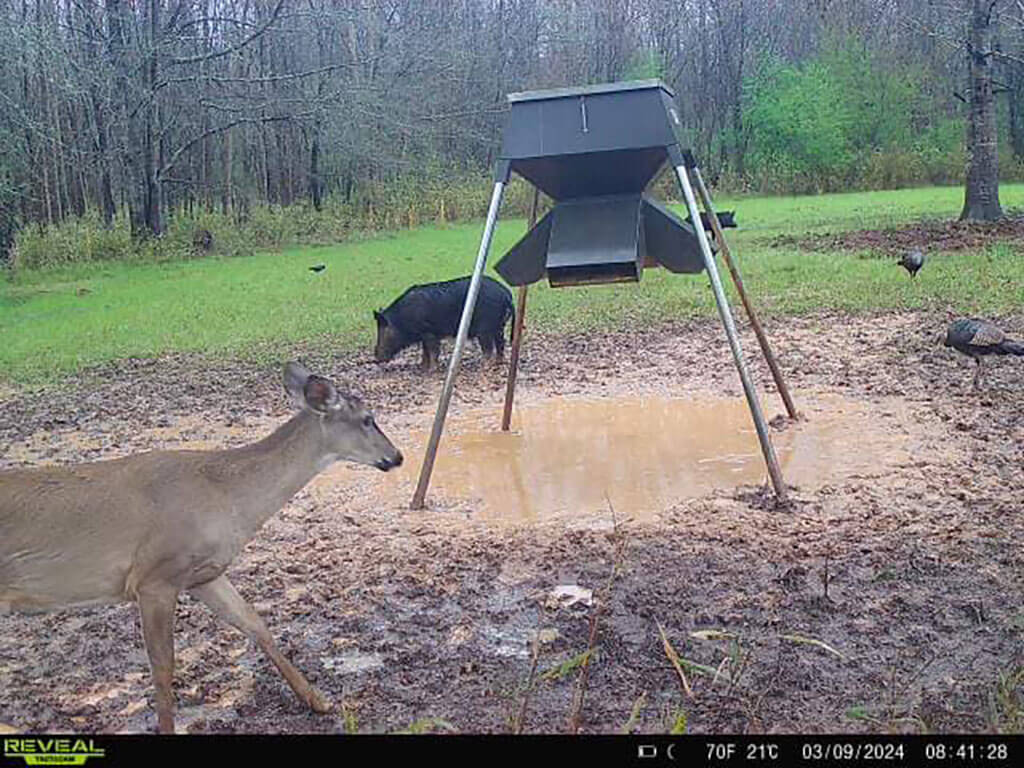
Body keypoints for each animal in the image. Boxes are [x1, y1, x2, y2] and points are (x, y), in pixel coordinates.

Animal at [0, 362, 403, 734]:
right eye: (368, 419)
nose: (398, 456)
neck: (226, 498)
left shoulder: (203, 573)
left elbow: (256, 624)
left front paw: (317, 700)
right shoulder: (154, 577)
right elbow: (163, 667)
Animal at [373, 275, 515, 371]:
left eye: (384, 331)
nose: (376, 359)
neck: (402, 319)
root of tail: (506, 294)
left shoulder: (429, 332)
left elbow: (433, 350)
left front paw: (431, 370)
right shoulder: (425, 335)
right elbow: (425, 351)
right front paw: (422, 368)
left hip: (485, 328)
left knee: (488, 348)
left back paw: (484, 366)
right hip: (499, 326)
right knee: (501, 343)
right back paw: (498, 362)